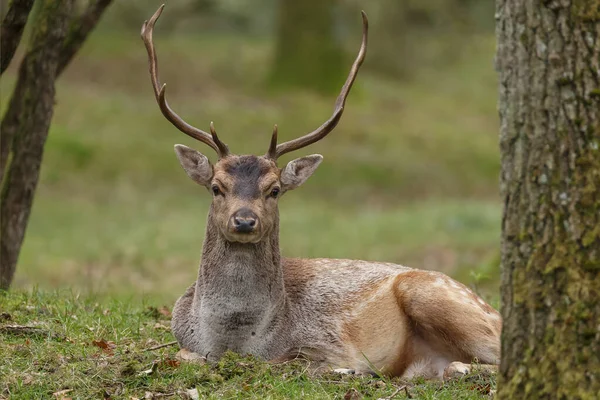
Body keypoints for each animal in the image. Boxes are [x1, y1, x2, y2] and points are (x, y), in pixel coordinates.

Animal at [141, 7, 502, 382]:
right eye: (216, 187)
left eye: (274, 190)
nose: (244, 221)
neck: (237, 342)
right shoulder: (185, 342)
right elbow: (186, 356)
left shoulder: (328, 343)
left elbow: (295, 364)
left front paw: (349, 371)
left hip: (435, 295)